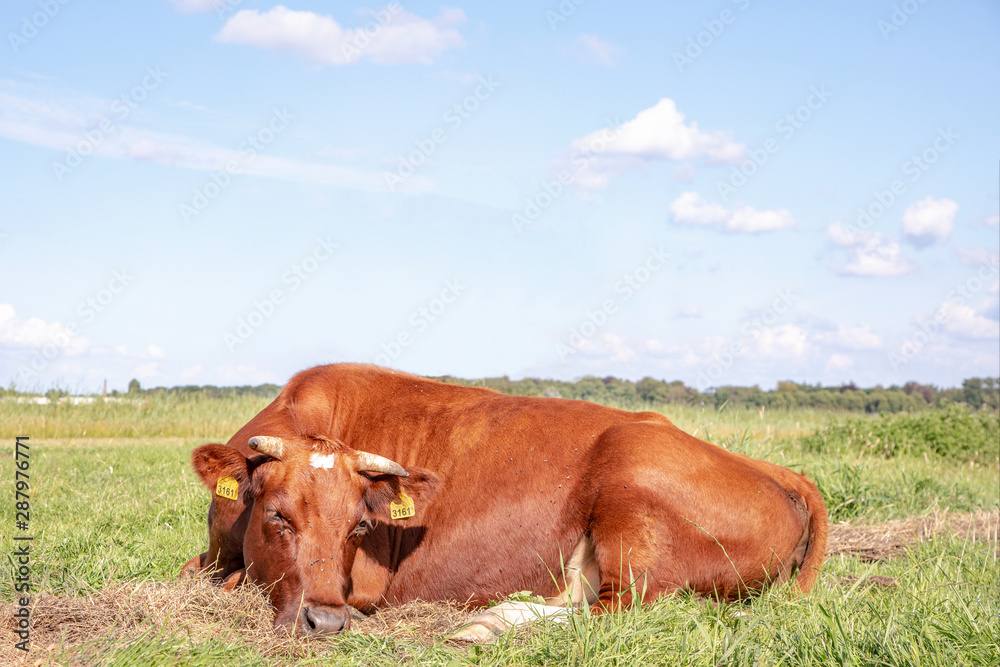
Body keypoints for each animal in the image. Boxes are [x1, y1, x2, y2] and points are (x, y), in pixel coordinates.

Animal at [186, 363, 828, 637]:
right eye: (278, 516)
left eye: (360, 528)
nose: (325, 621)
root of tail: (777, 471)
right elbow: (199, 572)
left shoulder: (365, 585)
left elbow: (237, 583)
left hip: (634, 505)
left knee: (617, 610)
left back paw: (487, 624)